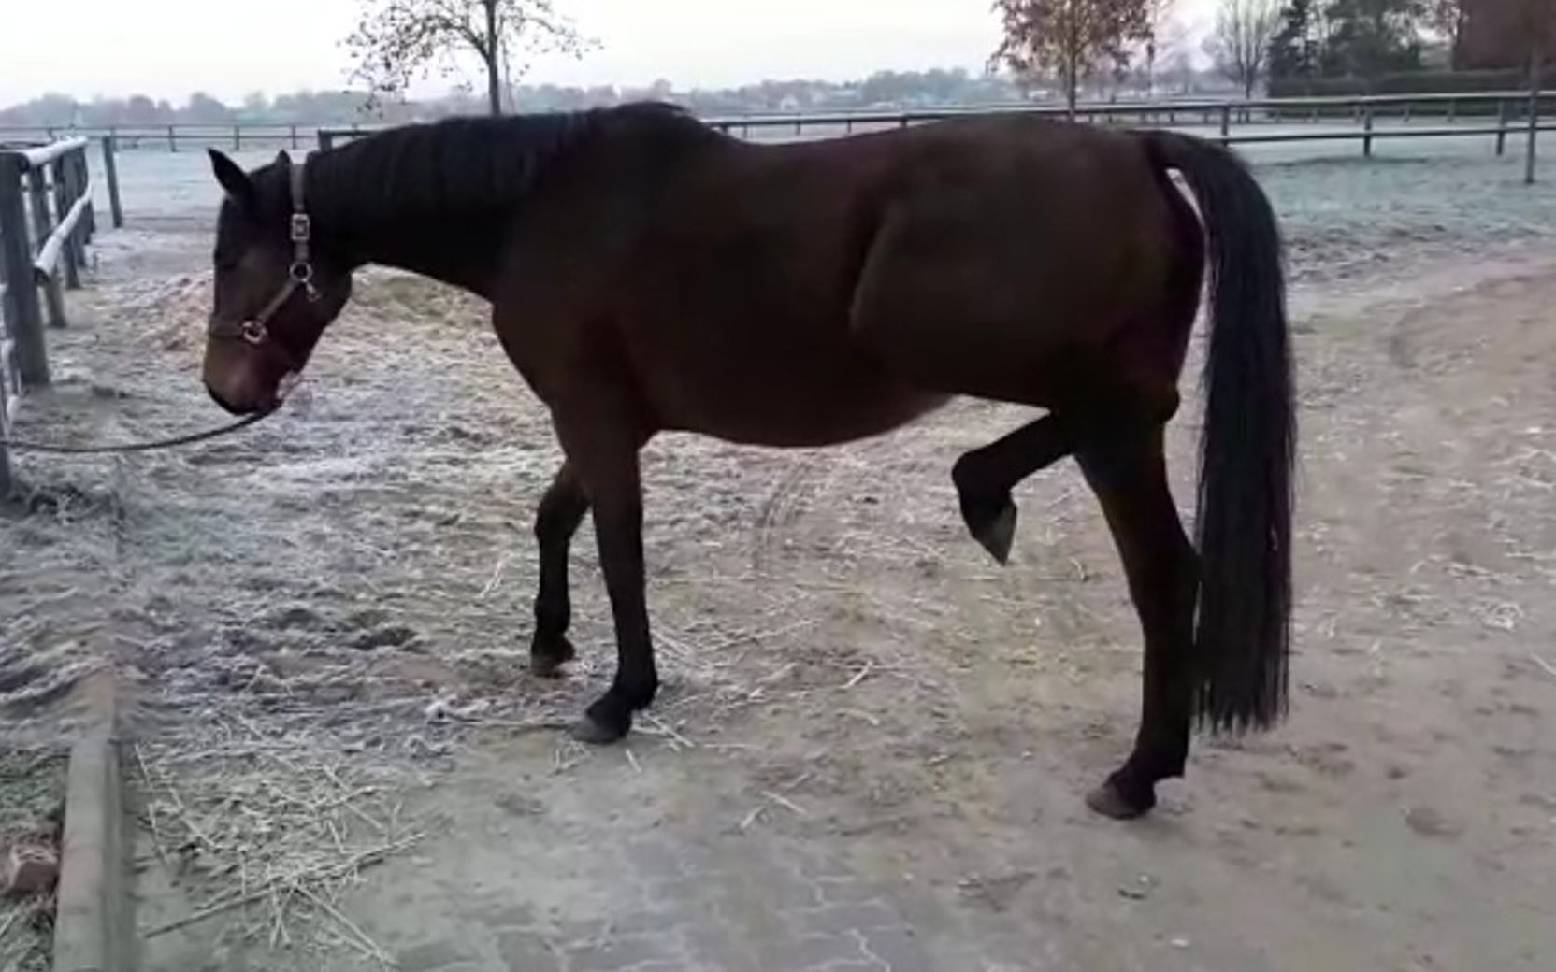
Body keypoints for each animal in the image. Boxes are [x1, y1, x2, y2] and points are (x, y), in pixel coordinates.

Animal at [201, 103, 1293, 820]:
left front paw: (619, 699)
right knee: (1163, 563)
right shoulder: (608, 422)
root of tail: (1138, 147)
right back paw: (1137, 762)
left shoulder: (594, 419)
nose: (225, 392)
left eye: (229, 258)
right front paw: (550, 642)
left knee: (1128, 450)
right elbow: (557, 519)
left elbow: (618, 551)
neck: (538, 212)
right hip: (1095, 427)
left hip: (979, 359)